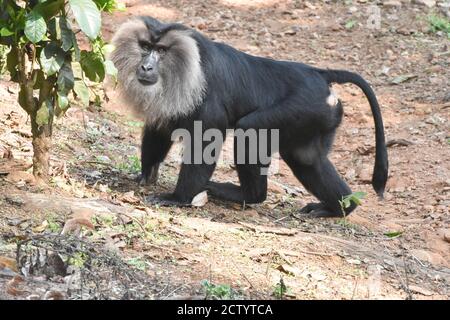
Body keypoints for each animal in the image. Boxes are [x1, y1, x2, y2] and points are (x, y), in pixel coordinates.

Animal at [110, 16, 388, 218]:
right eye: (145, 47)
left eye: (161, 50)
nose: (146, 67)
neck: (187, 65)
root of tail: (319, 74)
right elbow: (159, 131)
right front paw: (146, 175)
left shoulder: (207, 101)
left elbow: (205, 145)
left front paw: (178, 198)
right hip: (319, 116)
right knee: (307, 158)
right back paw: (340, 208)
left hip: (304, 107)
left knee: (250, 130)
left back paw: (249, 196)